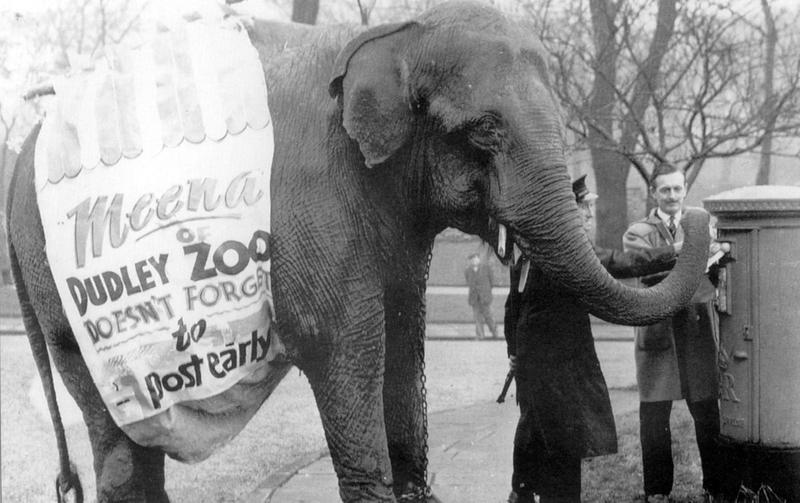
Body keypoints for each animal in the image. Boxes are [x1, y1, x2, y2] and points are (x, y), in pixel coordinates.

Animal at [7, 2, 711, 502]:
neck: (398, 35)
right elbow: (341, 342)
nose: (698, 213)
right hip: (60, 297)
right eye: (485, 130)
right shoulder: (312, 195)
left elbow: (403, 335)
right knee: (116, 437)